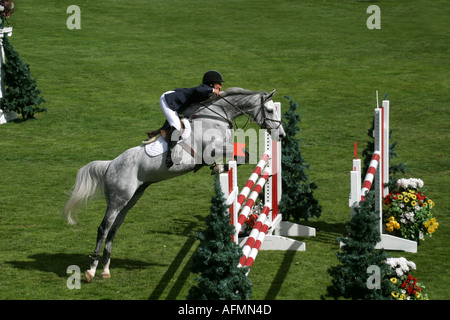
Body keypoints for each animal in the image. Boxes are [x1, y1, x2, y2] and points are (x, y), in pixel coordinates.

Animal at [62, 86, 284, 282]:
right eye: (269, 110)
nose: (281, 135)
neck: (217, 116)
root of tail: (110, 165)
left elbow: (241, 155)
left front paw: (219, 167)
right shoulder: (211, 148)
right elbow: (242, 154)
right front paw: (219, 167)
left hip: (130, 199)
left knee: (114, 229)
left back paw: (106, 270)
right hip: (118, 200)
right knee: (103, 228)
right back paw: (91, 270)